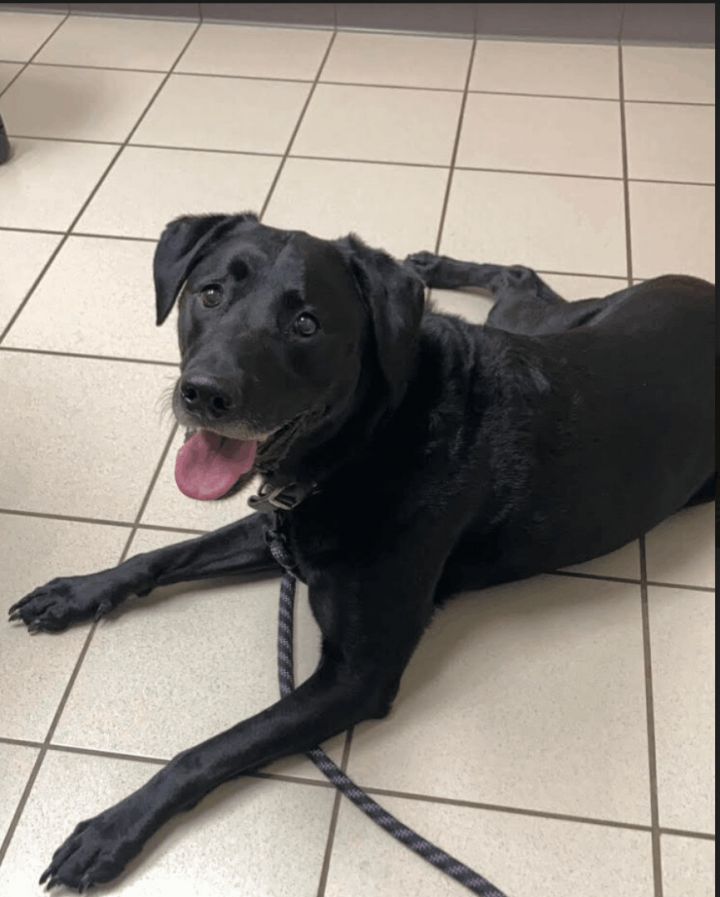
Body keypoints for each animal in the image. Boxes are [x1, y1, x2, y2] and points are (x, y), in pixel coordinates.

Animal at [7, 215, 716, 888]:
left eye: (306, 324)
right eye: (209, 294)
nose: (203, 394)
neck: (371, 433)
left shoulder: (356, 676)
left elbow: (211, 748)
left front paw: (114, 828)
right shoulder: (282, 526)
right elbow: (159, 558)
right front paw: (76, 592)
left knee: (523, 277)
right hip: (549, 325)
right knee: (519, 278)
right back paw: (431, 267)